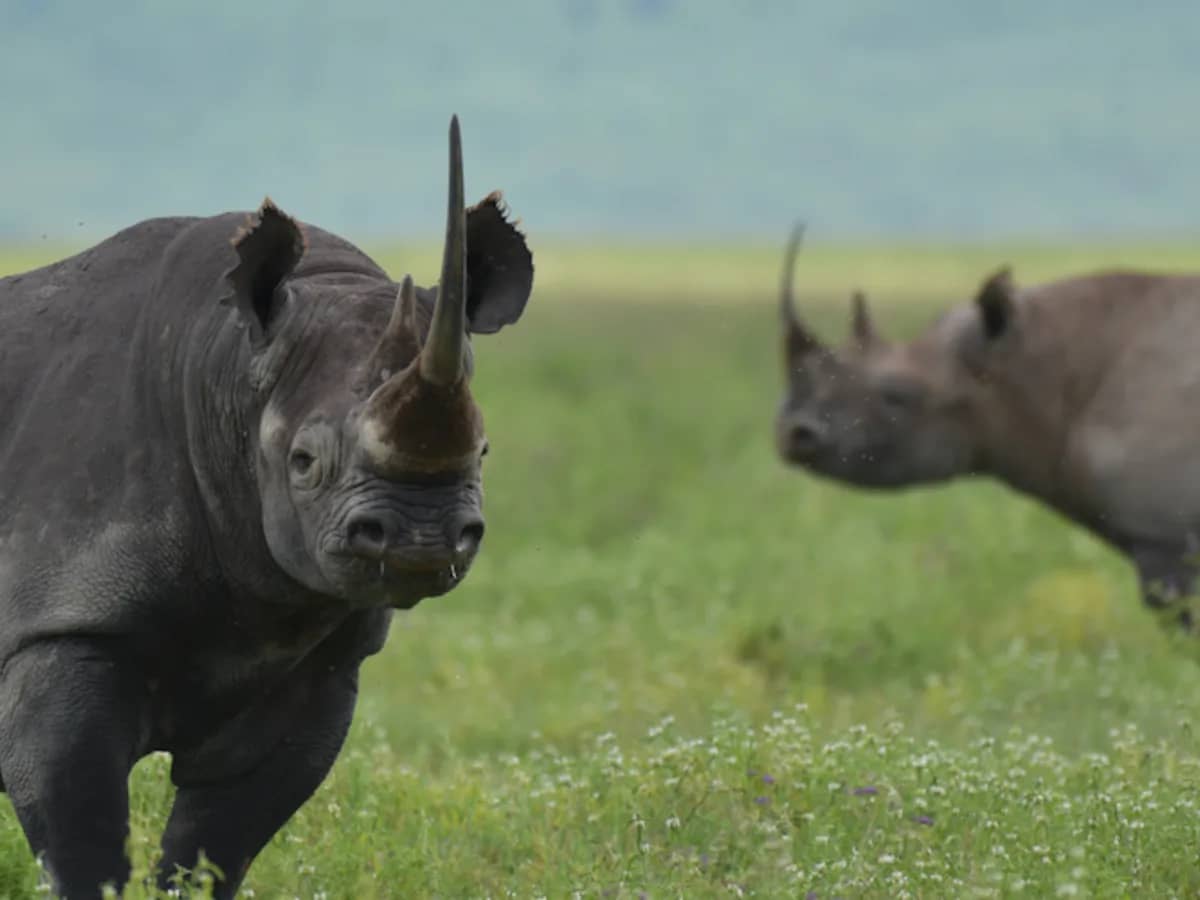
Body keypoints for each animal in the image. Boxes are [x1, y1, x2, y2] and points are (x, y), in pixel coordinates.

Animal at [0, 116, 534, 897]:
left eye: (486, 450)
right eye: (303, 462)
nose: (422, 538)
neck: (225, 372)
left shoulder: (317, 662)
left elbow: (215, 845)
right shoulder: (62, 619)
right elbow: (83, 839)